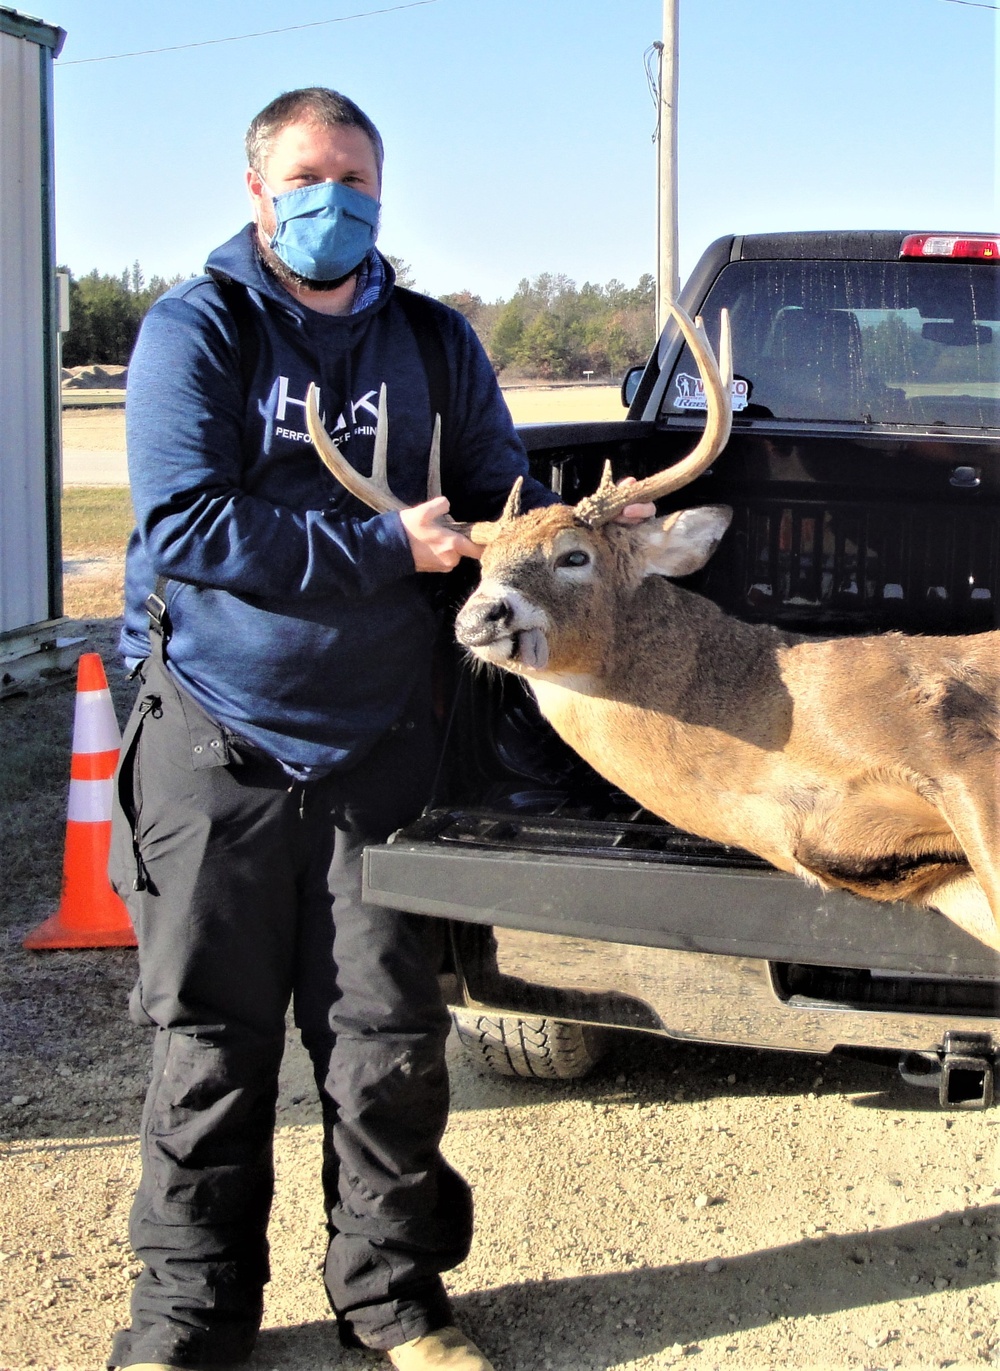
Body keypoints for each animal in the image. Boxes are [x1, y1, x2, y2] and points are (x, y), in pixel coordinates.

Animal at [301, 311, 998, 954]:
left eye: (574, 556)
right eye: (481, 564)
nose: (478, 618)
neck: (775, 740)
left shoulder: (945, 735)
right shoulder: (913, 872)